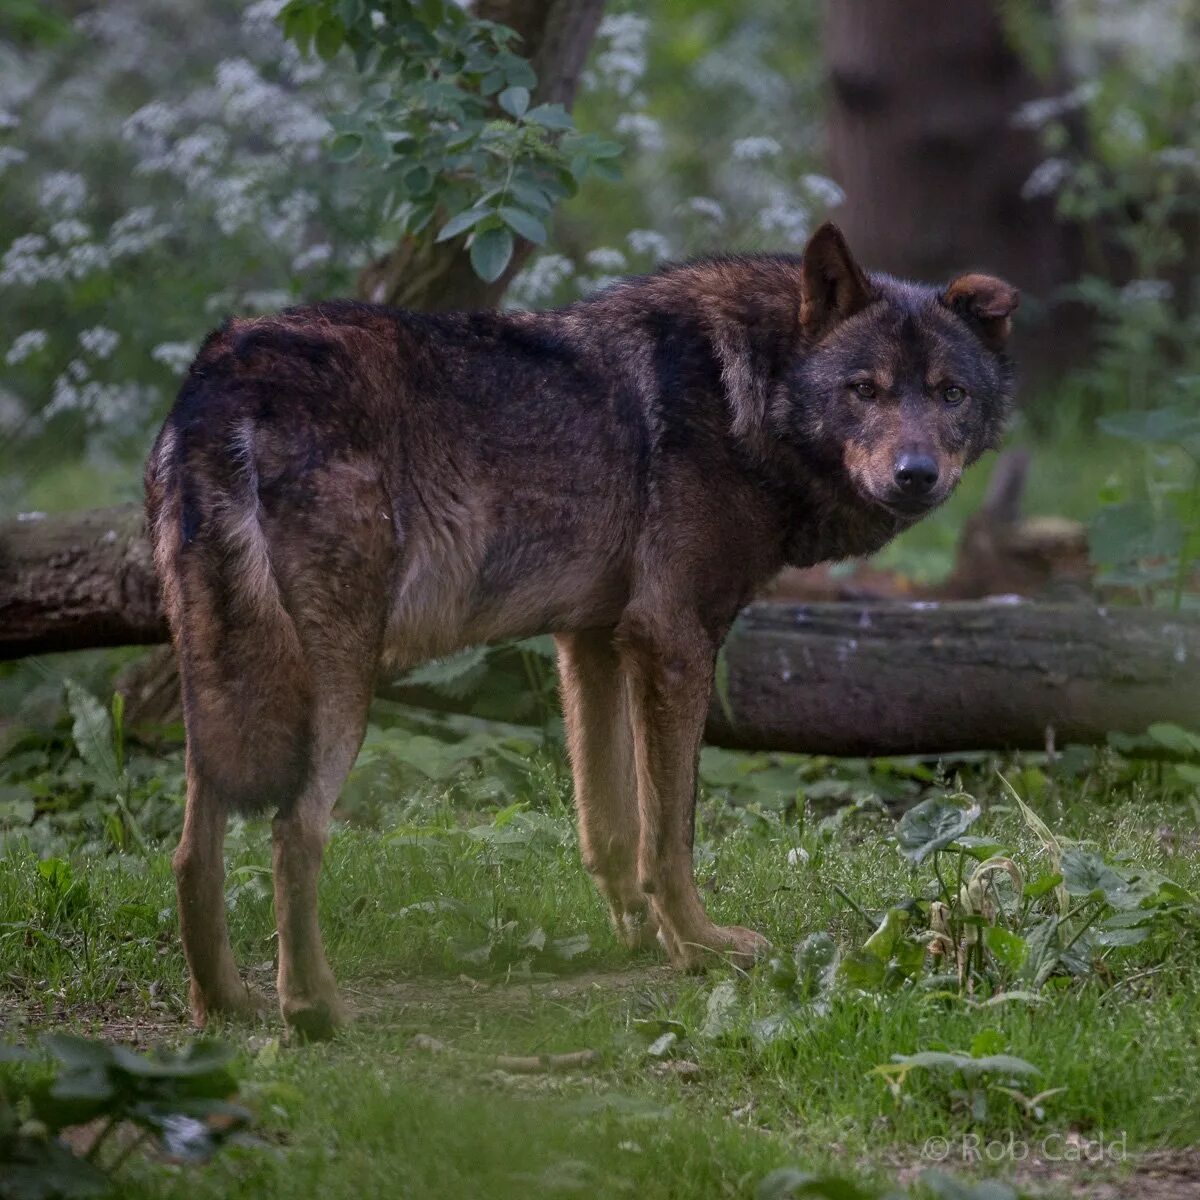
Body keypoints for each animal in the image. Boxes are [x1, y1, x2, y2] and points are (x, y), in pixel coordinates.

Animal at [145, 226, 1017, 1041]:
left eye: (949, 393)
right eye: (864, 389)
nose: (916, 474)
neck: (748, 389)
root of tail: (228, 368)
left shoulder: (593, 640)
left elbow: (610, 821)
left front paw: (640, 932)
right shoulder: (673, 639)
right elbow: (670, 833)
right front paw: (699, 948)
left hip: (226, 688)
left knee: (191, 852)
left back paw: (222, 1004)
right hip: (337, 686)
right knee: (295, 831)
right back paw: (313, 1009)